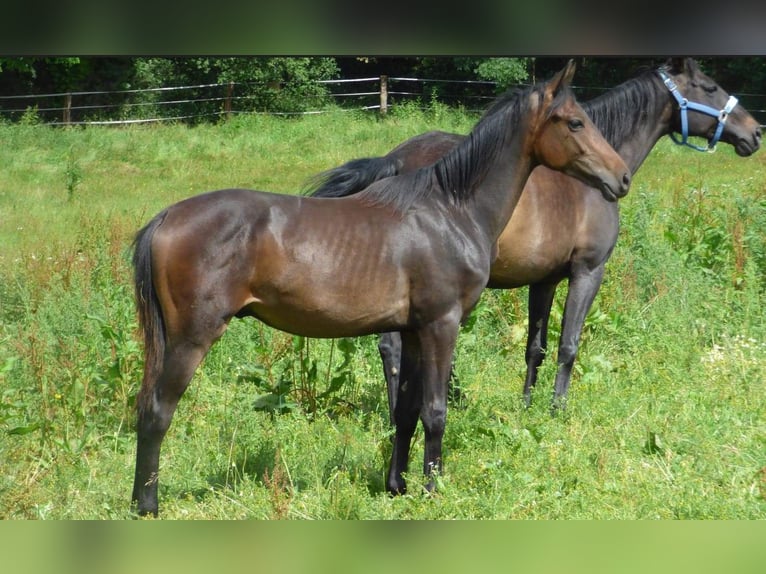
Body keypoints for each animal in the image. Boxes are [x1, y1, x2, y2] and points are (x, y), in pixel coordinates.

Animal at [127, 62, 632, 516]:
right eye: (575, 121)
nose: (622, 177)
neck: (451, 210)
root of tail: (165, 218)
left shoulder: (412, 331)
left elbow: (406, 411)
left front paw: (397, 486)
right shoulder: (441, 325)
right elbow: (435, 410)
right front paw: (431, 489)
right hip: (192, 338)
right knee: (157, 412)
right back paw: (146, 505)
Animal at [308, 58, 764, 416]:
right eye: (710, 87)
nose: (755, 132)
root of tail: (396, 158)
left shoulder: (543, 280)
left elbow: (536, 346)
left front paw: (527, 405)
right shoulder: (588, 271)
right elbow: (569, 345)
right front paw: (557, 409)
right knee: (393, 348)